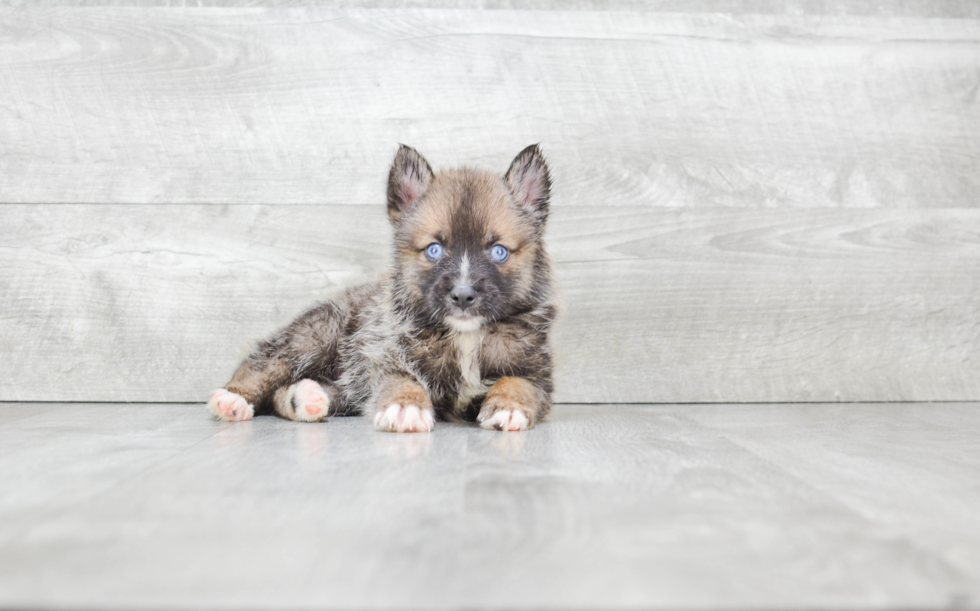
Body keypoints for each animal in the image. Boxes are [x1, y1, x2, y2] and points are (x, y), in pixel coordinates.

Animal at [205, 145, 560, 432]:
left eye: (498, 251)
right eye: (434, 249)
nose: (462, 295)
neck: (465, 336)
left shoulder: (535, 372)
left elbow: (517, 382)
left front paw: (508, 406)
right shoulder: (387, 353)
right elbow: (402, 379)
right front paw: (405, 406)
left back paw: (306, 397)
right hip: (315, 335)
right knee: (266, 362)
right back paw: (233, 398)